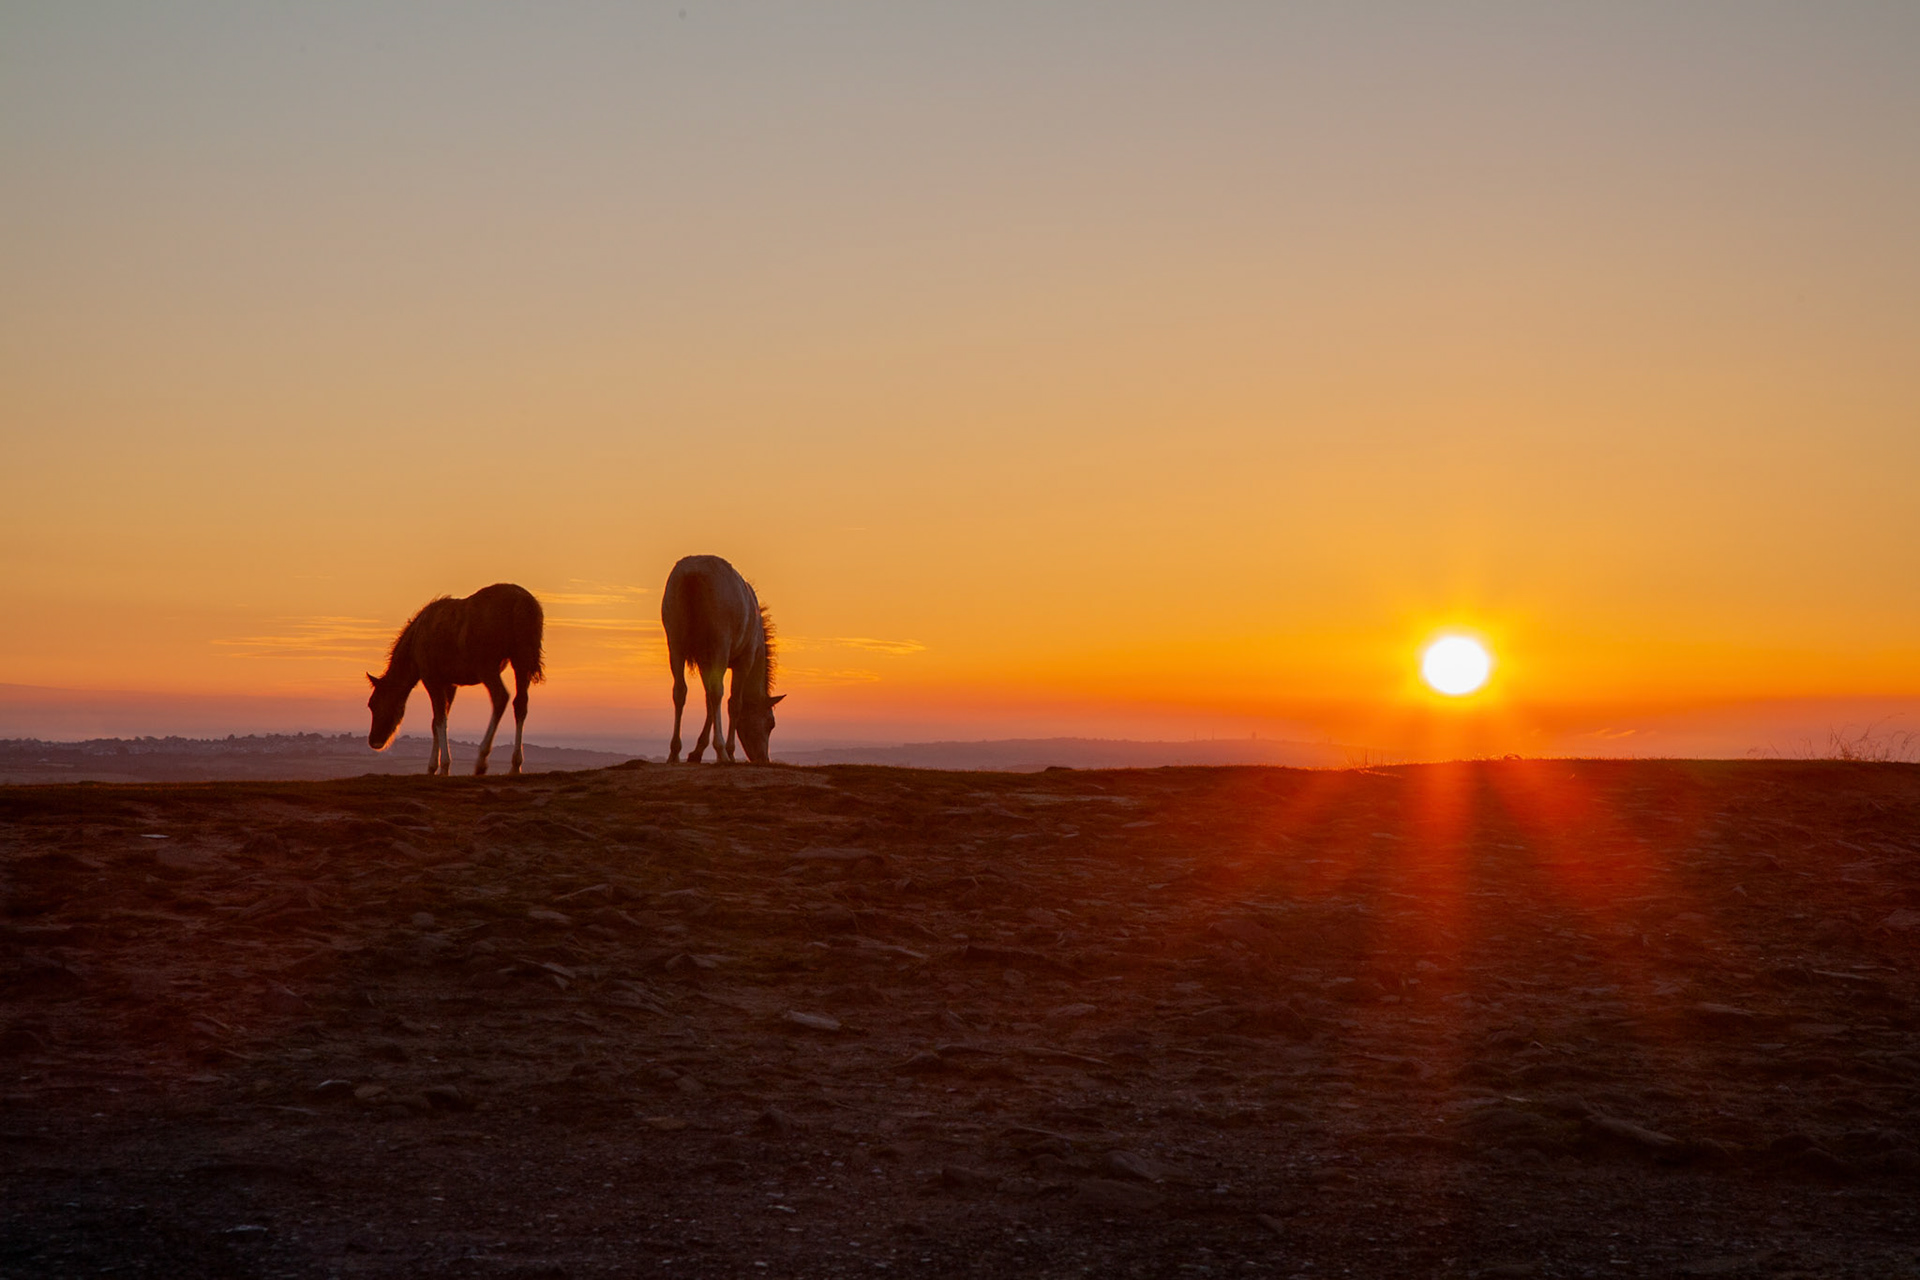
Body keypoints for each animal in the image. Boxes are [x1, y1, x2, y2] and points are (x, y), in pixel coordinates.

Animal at [366, 583, 545, 776]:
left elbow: (439, 720)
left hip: (487, 666)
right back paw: (515, 765)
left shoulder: (432, 679)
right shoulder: (450, 684)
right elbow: (437, 722)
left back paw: (481, 760)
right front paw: (433, 767)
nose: (374, 740)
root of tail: (523, 603)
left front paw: (443, 766)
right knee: (520, 704)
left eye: (373, 704)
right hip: (521, 661)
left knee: (500, 697)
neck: (415, 644)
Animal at [661, 555, 783, 764]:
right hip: (720, 643)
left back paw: (674, 752)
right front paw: (730, 751)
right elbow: (733, 703)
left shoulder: (704, 662)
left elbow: (708, 702)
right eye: (771, 723)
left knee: (680, 691)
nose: (763, 758)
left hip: (675, 643)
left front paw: (697, 751)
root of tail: (692, 573)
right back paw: (721, 752)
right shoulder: (744, 660)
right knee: (718, 692)